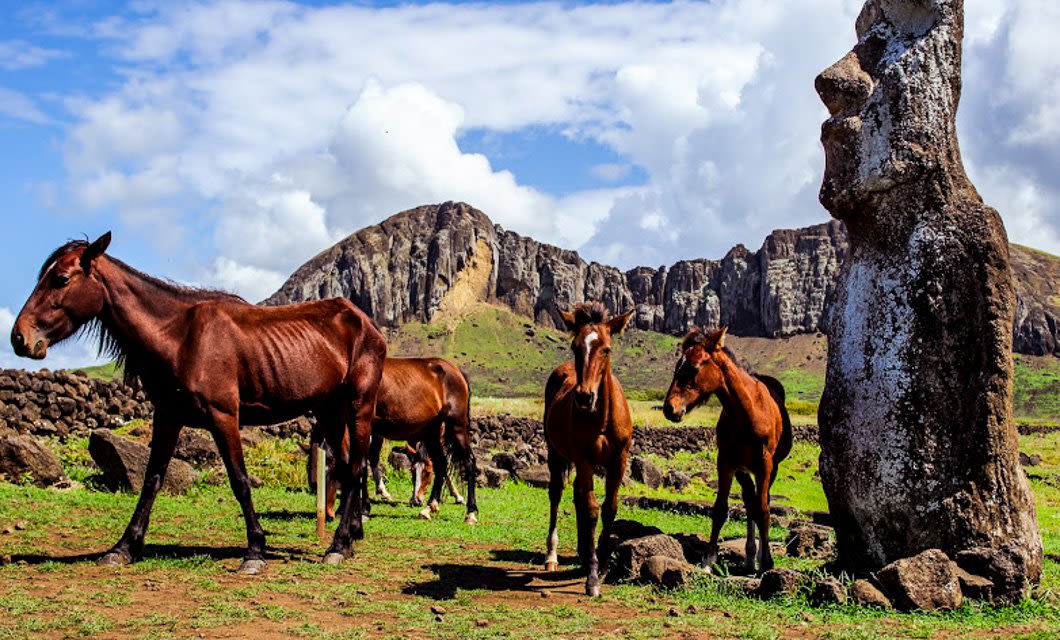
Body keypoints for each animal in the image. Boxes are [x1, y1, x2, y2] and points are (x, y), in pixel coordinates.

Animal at [10, 233, 386, 573]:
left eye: (61, 279)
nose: (19, 338)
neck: (179, 338)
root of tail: (365, 323)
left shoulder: (224, 416)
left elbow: (239, 481)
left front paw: (255, 550)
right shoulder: (167, 417)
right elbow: (151, 480)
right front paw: (124, 547)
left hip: (359, 408)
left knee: (355, 467)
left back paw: (337, 545)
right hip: (330, 411)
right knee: (347, 467)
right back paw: (350, 536)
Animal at [308, 356, 478, 523]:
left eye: (329, 469)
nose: (327, 513)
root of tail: (456, 371)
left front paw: (361, 510)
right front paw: (350, 509)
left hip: (457, 425)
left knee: (469, 462)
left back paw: (470, 513)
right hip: (432, 432)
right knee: (441, 464)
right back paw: (428, 508)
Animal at [543, 302, 634, 596]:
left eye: (606, 349)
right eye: (575, 347)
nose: (584, 397)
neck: (603, 417)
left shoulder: (619, 460)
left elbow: (609, 509)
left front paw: (602, 565)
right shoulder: (584, 459)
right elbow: (592, 509)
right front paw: (593, 578)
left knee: (577, 496)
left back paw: (584, 553)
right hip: (555, 454)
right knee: (558, 494)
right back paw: (553, 556)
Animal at [663, 326, 792, 573]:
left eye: (694, 367)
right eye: (676, 367)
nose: (669, 409)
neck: (747, 412)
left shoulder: (765, 464)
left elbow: (763, 510)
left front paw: (767, 563)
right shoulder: (726, 462)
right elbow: (720, 509)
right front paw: (708, 560)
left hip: (770, 469)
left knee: (760, 503)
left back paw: (758, 557)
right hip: (743, 470)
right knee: (750, 502)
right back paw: (750, 557)